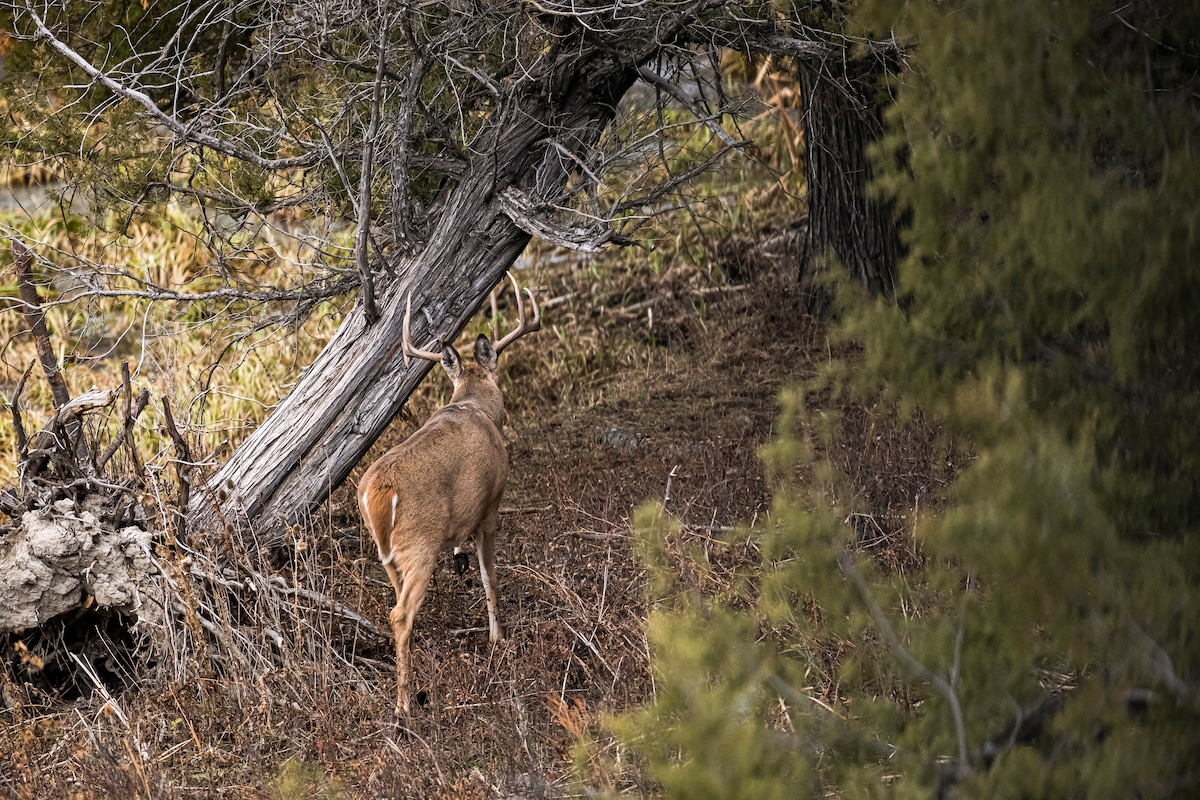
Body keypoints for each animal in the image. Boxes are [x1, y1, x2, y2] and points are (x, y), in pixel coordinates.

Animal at [357, 273, 540, 714]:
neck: (476, 408)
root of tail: (377, 492)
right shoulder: (490, 506)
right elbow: (490, 576)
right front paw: (498, 638)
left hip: (389, 554)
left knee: (396, 604)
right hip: (420, 542)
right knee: (400, 614)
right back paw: (404, 705)